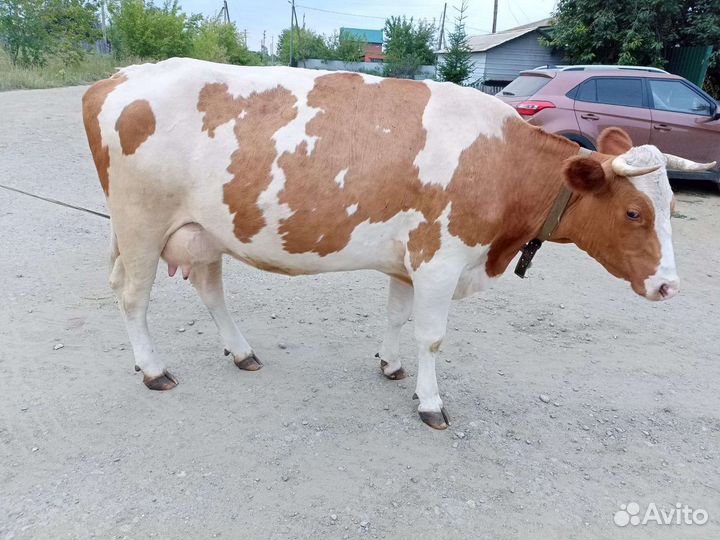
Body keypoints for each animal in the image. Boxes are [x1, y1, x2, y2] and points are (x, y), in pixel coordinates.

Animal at [82, 58, 715, 429]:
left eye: (672, 209)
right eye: (634, 212)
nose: (669, 286)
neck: (500, 159)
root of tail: (119, 76)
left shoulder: (410, 259)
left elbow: (395, 315)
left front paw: (389, 364)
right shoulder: (440, 258)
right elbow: (431, 336)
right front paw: (430, 401)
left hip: (203, 229)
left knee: (210, 288)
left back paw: (241, 352)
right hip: (140, 223)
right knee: (132, 295)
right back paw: (153, 369)